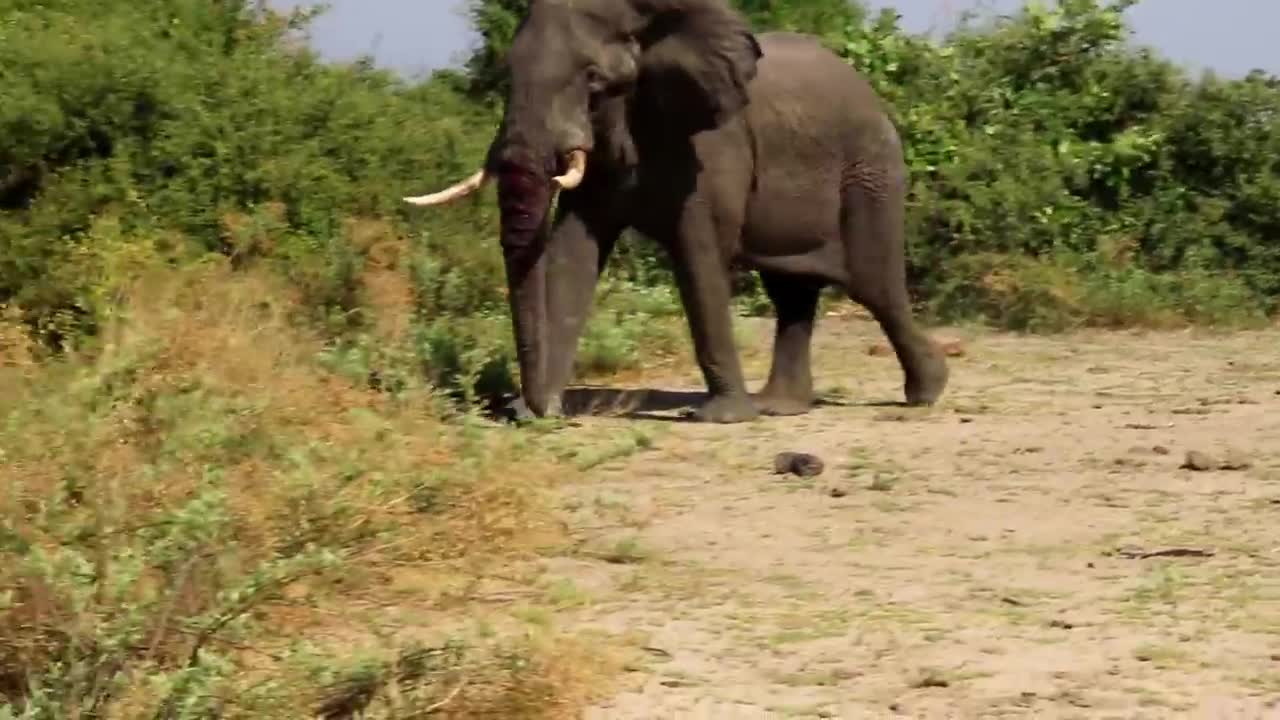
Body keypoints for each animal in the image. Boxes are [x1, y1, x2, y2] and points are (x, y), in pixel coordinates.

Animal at [401, 0, 952, 420]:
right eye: (507, 73)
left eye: (593, 79)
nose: (537, 410)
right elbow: (571, 256)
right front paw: (532, 413)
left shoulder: (713, 147)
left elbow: (698, 256)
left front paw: (721, 418)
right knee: (791, 292)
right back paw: (779, 407)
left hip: (871, 172)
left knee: (874, 285)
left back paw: (926, 394)